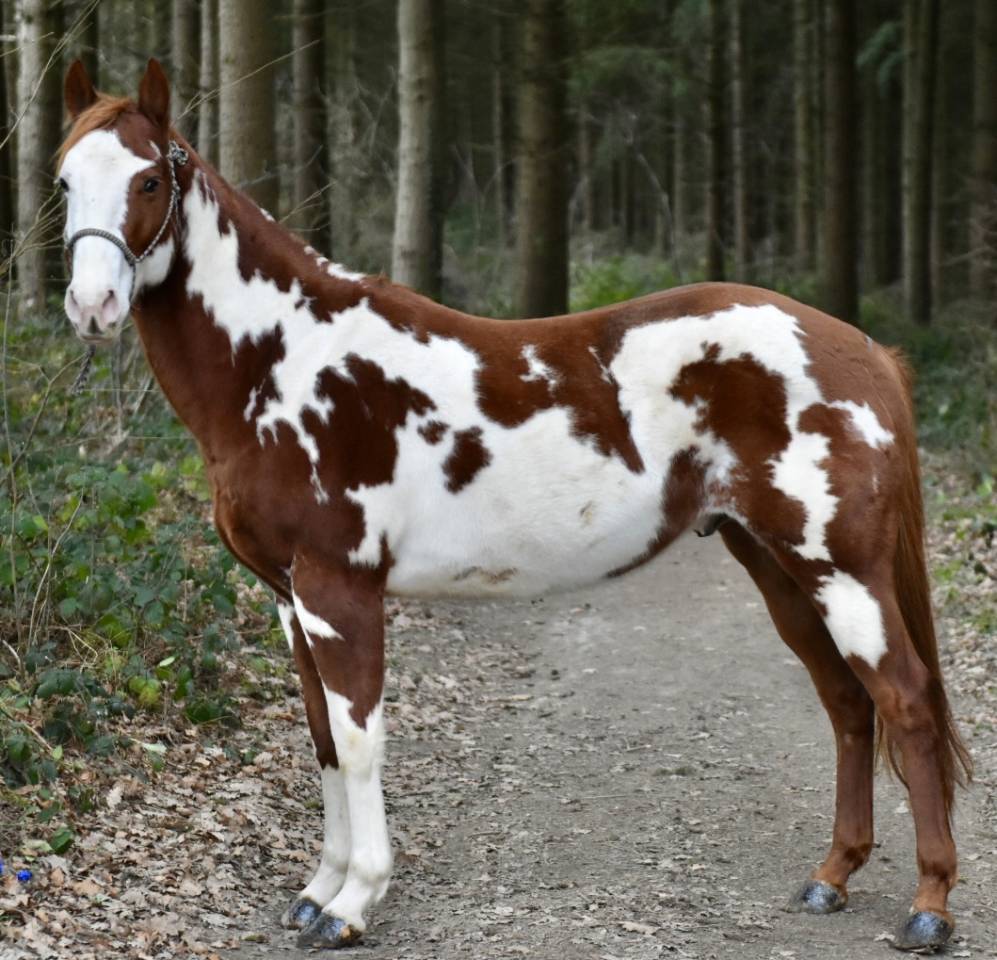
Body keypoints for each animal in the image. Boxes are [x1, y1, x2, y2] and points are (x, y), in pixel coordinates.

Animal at [56, 59, 971, 952]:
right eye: (65, 179)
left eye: (148, 179)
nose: (92, 307)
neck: (284, 360)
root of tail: (862, 350)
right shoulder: (289, 600)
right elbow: (320, 741)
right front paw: (316, 892)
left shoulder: (338, 591)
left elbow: (357, 740)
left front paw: (353, 903)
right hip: (777, 565)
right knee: (848, 704)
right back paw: (831, 877)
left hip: (839, 569)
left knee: (907, 703)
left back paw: (928, 907)